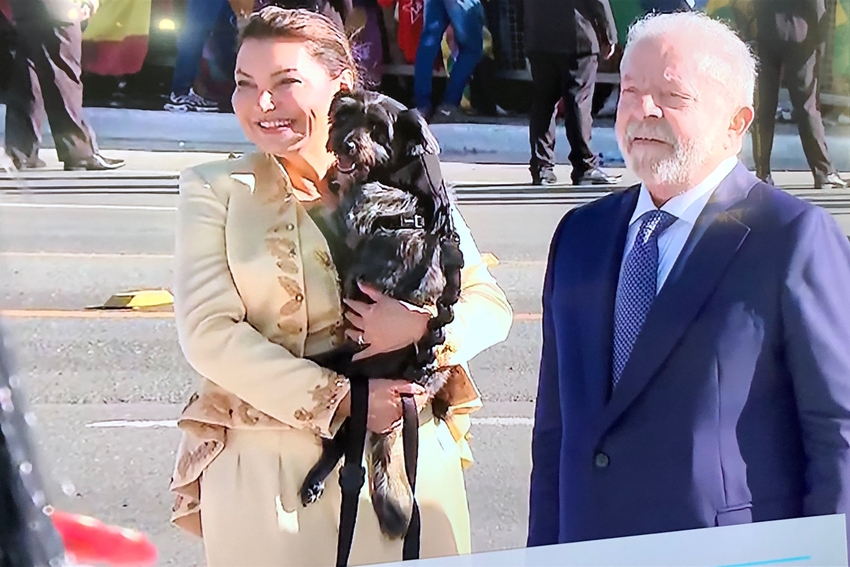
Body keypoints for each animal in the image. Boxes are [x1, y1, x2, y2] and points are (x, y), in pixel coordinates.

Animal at [302, 90, 464, 540]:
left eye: (378, 129)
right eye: (345, 116)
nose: (346, 145)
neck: (399, 179)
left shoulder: (350, 216)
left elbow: (333, 211)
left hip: (344, 376)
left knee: (340, 442)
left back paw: (315, 479)